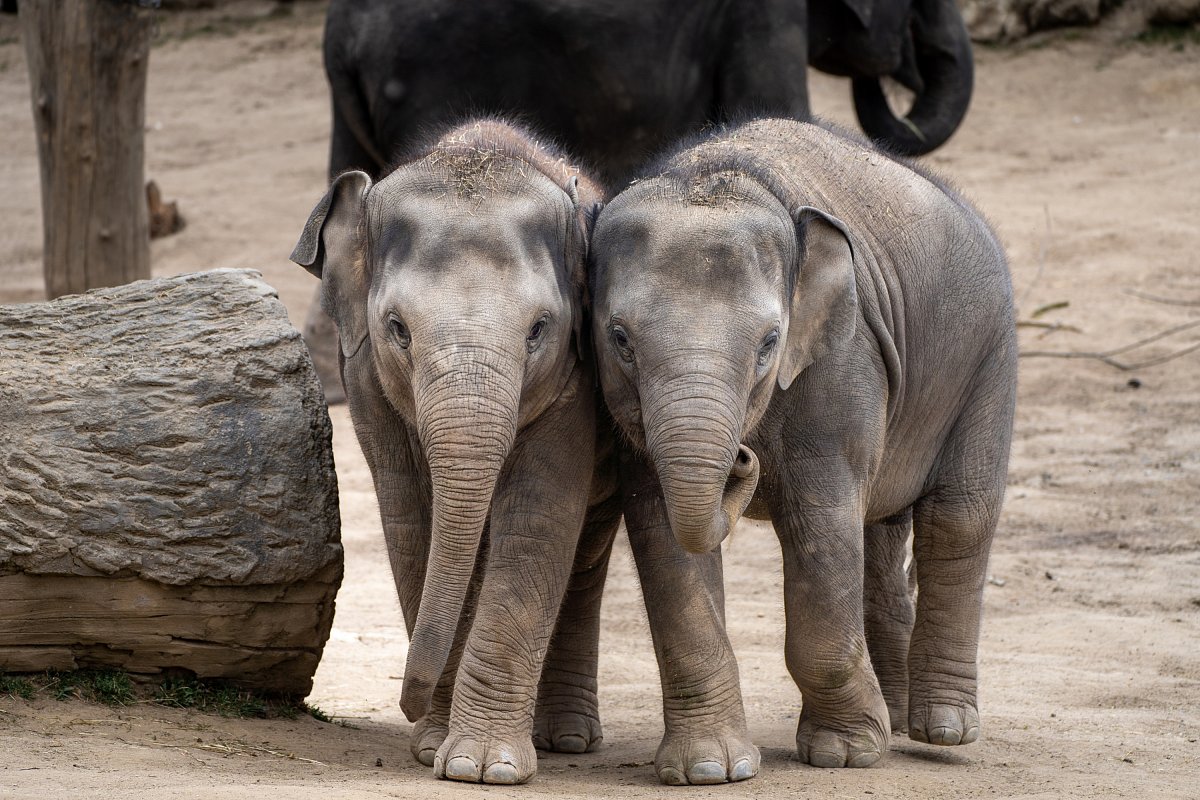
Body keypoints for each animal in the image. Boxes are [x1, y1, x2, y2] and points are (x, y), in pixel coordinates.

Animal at [291, 118, 619, 782]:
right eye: (398, 328)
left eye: (539, 329)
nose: (405, 701)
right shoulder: (365, 380)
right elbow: (412, 525)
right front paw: (433, 747)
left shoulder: (576, 381)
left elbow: (537, 520)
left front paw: (480, 766)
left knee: (586, 551)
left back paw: (566, 739)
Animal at [588, 118, 1012, 782]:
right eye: (620, 339)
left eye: (769, 343)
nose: (742, 458)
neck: (711, 172)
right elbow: (661, 529)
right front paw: (710, 769)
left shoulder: (841, 363)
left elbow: (821, 519)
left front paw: (845, 753)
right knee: (882, 534)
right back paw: (896, 717)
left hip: (989, 355)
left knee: (957, 518)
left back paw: (941, 730)